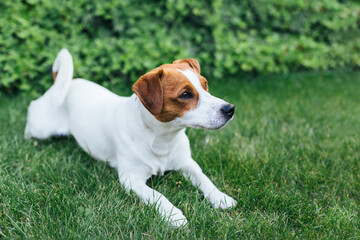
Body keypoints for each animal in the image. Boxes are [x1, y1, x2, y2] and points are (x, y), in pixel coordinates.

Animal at [26, 49, 239, 227]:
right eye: (185, 94)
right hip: (41, 127)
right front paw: (174, 215)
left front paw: (220, 197)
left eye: (206, 85)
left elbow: (204, 178)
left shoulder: (186, 163)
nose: (230, 109)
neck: (162, 138)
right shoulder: (131, 179)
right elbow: (157, 195)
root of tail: (64, 83)